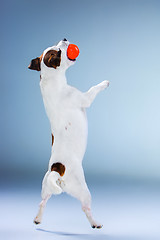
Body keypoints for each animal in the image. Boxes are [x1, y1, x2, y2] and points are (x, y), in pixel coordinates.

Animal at [28, 38, 109, 228]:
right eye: (59, 51)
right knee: (86, 208)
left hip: (46, 186)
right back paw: (95, 223)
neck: (53, 81)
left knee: (42, 202)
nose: (64, 39)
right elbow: (93, 89)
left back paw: (38, 219)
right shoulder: (85, 99)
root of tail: (57, 168)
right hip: (83, 190)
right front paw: (104, 83)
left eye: (57, 43)